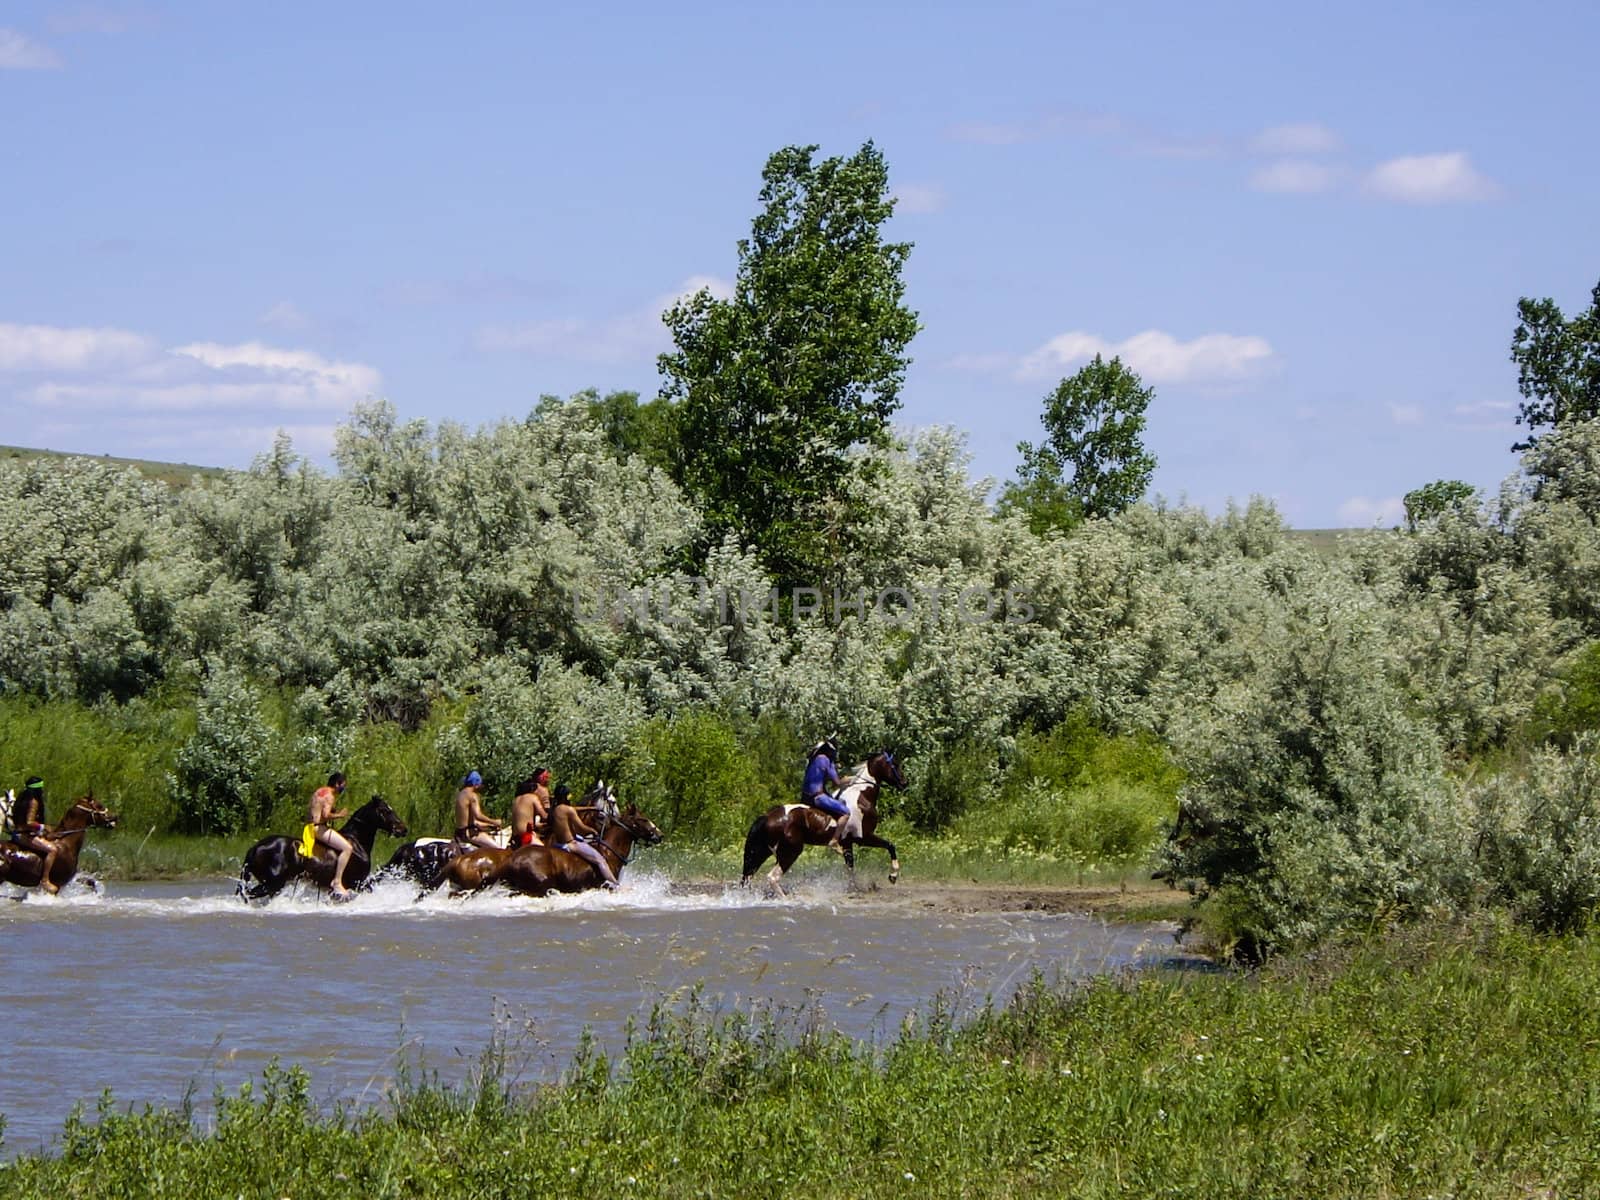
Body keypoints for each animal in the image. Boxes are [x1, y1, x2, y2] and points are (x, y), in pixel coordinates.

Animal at [240, 800, 412, 902]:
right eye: (386, 811)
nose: (403, 829)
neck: (357, 843)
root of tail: (255, 848)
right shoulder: (358, 882)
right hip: (273, 884)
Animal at [742, 752, 908, 896]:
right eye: (895, 764)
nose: (905, 783)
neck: (862, 796)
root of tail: (767, 817)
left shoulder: (847, 843)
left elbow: (850, 866)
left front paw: (853, 889)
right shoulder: (863, 838)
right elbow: (890, 846)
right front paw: (893, 876)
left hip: (761, 852)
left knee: (747, 877)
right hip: (790, 852)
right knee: (772, 877)